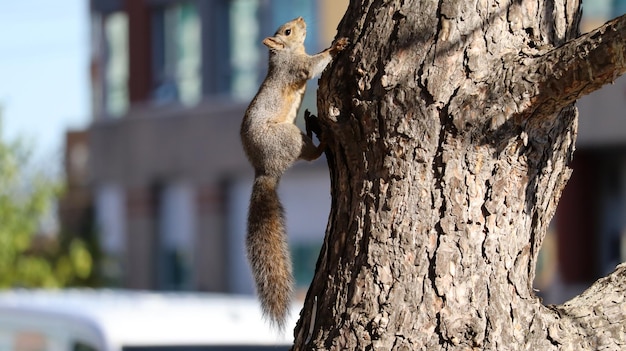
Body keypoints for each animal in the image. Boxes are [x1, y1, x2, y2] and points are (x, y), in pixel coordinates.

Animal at [238, 16, 346, 330]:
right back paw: (322, 136)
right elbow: (314, 65)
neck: (284, 55)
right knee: (311, 154)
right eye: (287, 32)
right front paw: (336, 46)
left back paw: (312, 123)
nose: (300, 19)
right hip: (289, 138)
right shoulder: (297, 68)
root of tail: (266, 170)